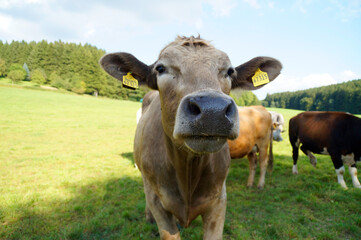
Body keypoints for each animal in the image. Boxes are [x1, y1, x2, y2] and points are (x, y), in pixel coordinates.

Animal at [99, 36, 282, 240]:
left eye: (229, 71)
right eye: (160, 68)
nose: (212, 110)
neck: (188, 170)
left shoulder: (219, 199)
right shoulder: (158, 203)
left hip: (263, 143)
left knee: (261, 162)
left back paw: (258, 185)